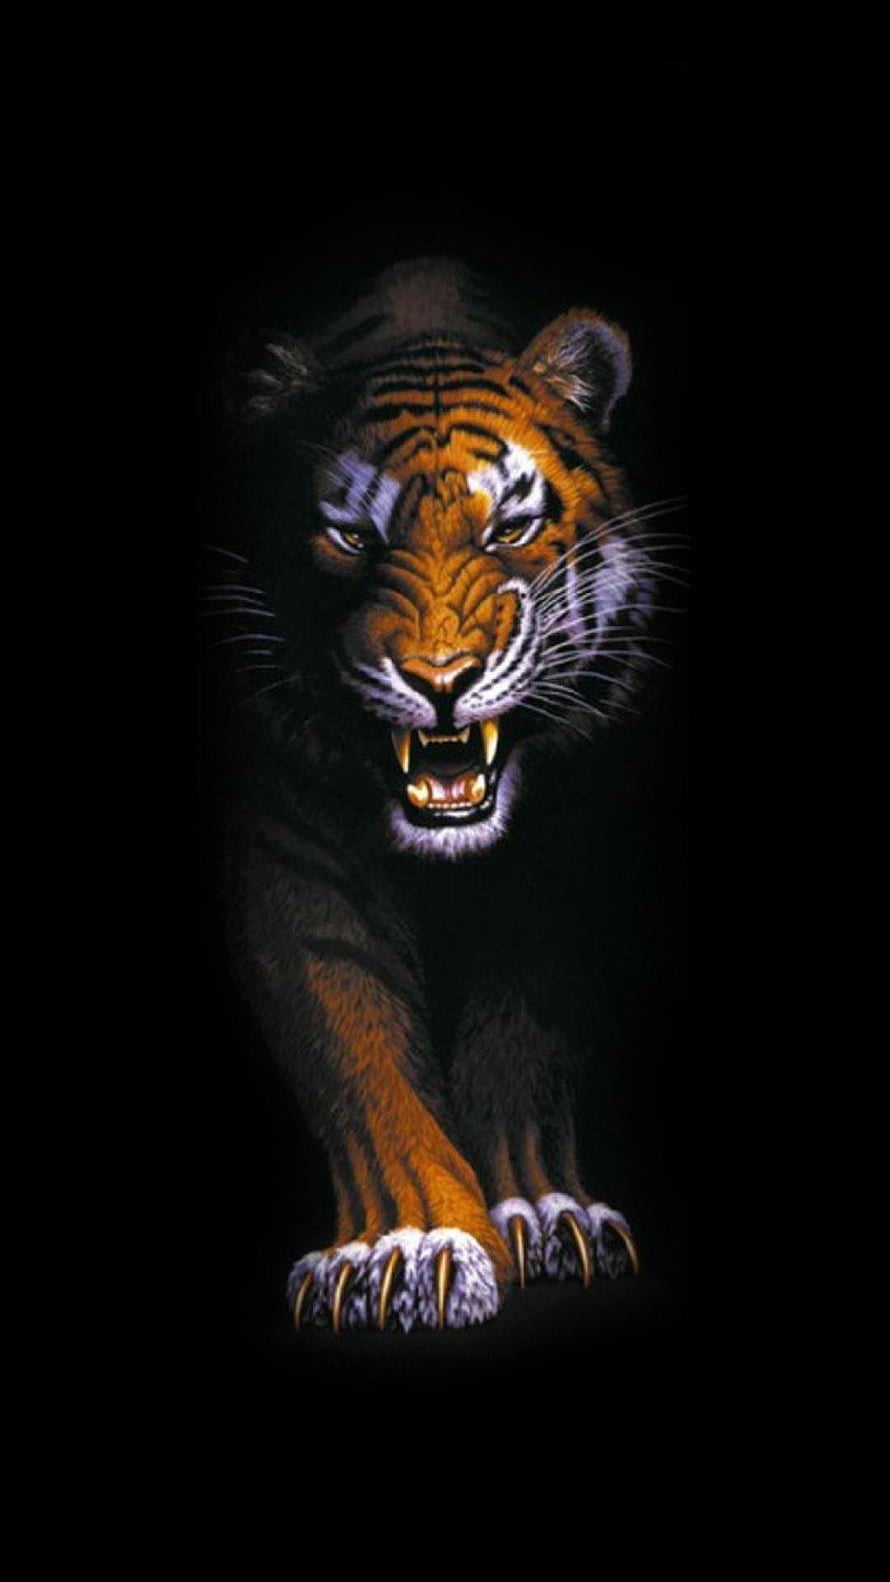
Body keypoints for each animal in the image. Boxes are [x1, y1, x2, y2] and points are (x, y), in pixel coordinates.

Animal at [207, 256, 671, 1333]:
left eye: (509, 526)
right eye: (348, 537)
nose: (441, 677)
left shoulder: (570, 857)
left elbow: (523, 1043)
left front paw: (543, 1215)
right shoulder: (286, 849)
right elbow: (357, 1054)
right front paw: (403, 1246)